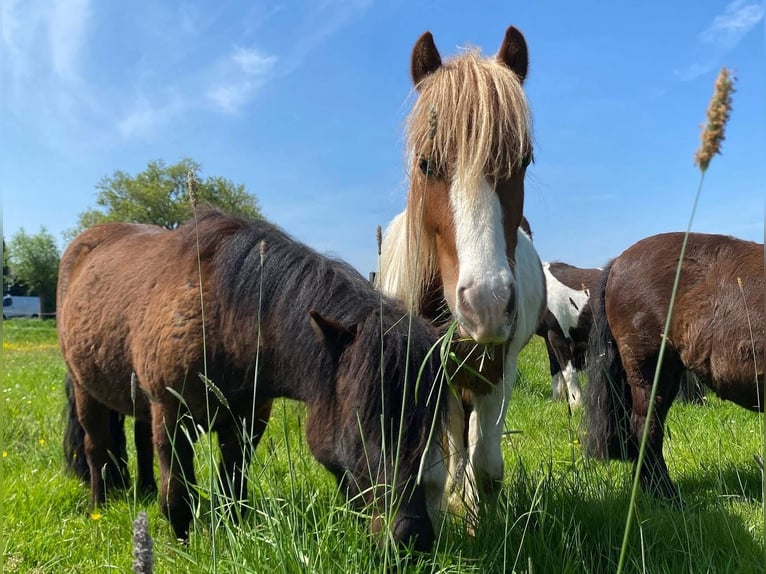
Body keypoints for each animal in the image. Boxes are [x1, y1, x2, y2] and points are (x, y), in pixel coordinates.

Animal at [60, 209, 450, 552]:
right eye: (360, 425)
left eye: (426, 428)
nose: (413, 537)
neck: (223, 317)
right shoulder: (172, 416)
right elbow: (177, 497)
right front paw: (182, 548)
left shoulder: (248, 420)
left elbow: (232, 488)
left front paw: (231, 533)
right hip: (86, 392)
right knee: (95, 449)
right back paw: (99, 504)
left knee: (140, 443)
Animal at [378, 25, 544, 520]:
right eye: (426, 163)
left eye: (523, 160)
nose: (486, 305)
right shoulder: (425, 376)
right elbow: (433, 466)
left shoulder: (499, 369)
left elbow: (487, 465)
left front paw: (475, 512)